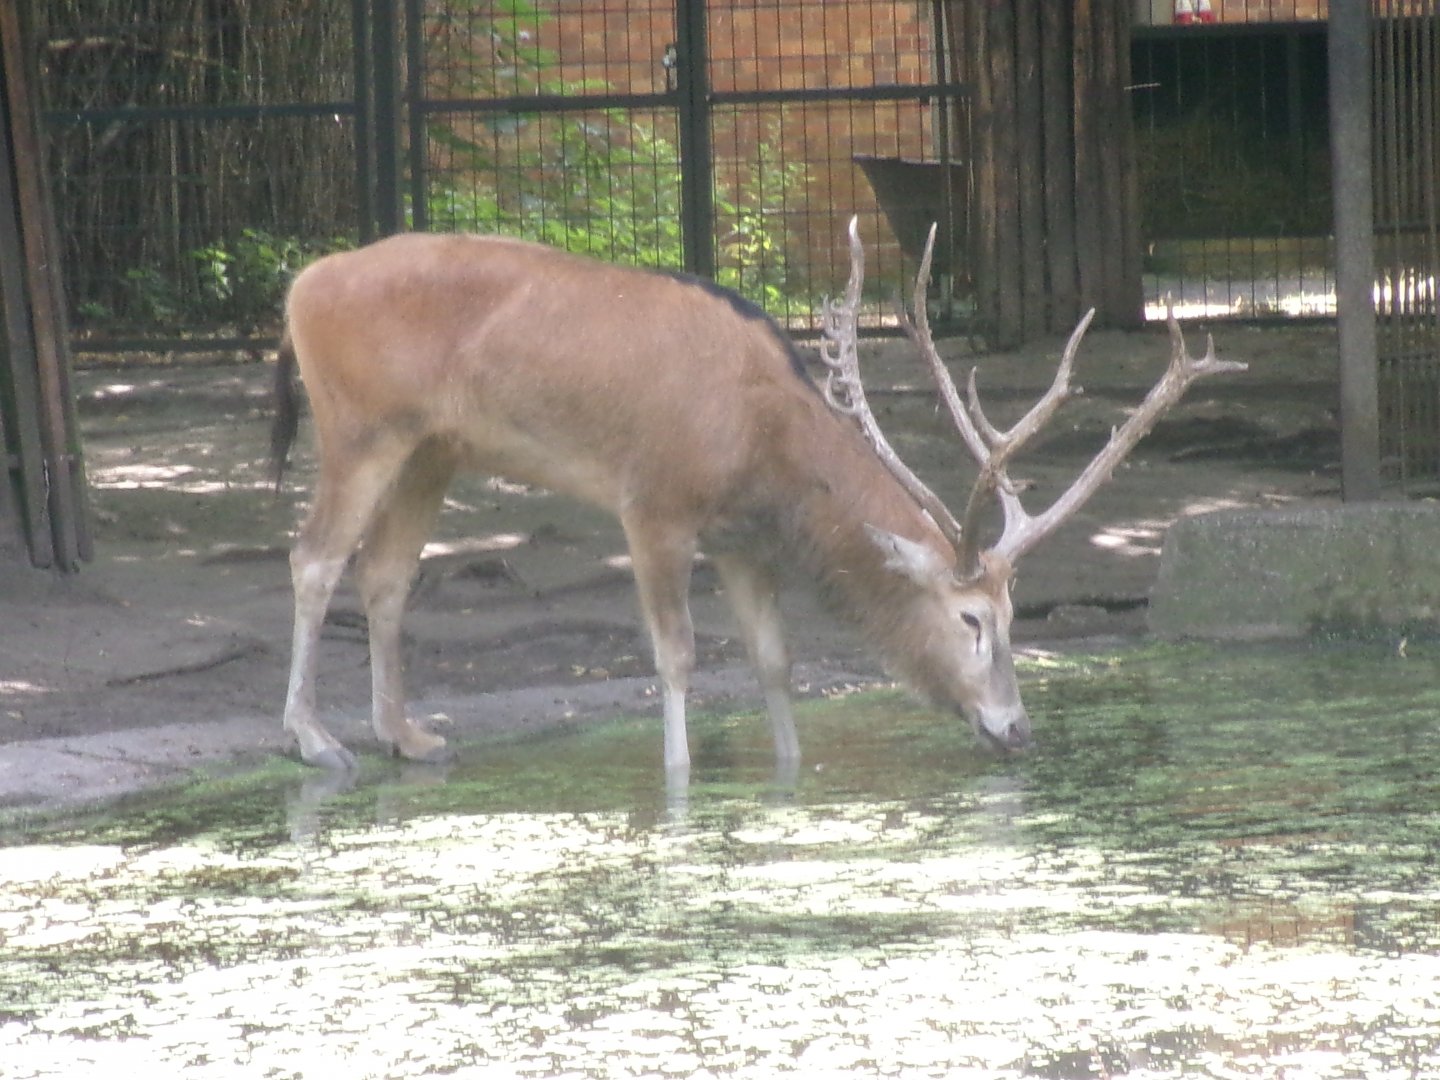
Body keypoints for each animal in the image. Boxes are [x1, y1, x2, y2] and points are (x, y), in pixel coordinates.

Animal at [270, 218, 1244, 780]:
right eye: (971, 618)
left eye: (1015, 616)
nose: (1016, 730)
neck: (760, 443)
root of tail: (301, 284)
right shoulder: (655, 504)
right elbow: (677, 658)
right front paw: (680, 785)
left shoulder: (740, 537)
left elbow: (775, 662)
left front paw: (788, 776)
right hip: (357, 425)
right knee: (313, 558)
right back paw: (317, 742)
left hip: (432, 446)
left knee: (386, 573)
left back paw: (408, 735)